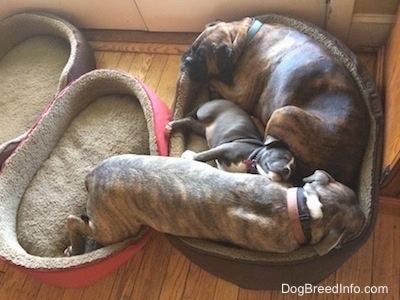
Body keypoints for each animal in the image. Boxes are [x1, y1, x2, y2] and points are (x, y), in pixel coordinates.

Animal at [166, 99, 294, 182]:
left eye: (293, 169)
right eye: (283, 156)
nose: (286, 170)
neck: (250, 162)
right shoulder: (224, 148)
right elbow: (203, 155)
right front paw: (189, 156)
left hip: (203, 129)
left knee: (189, 121)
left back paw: (172, 126)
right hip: (204, 114)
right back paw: (171, 126)